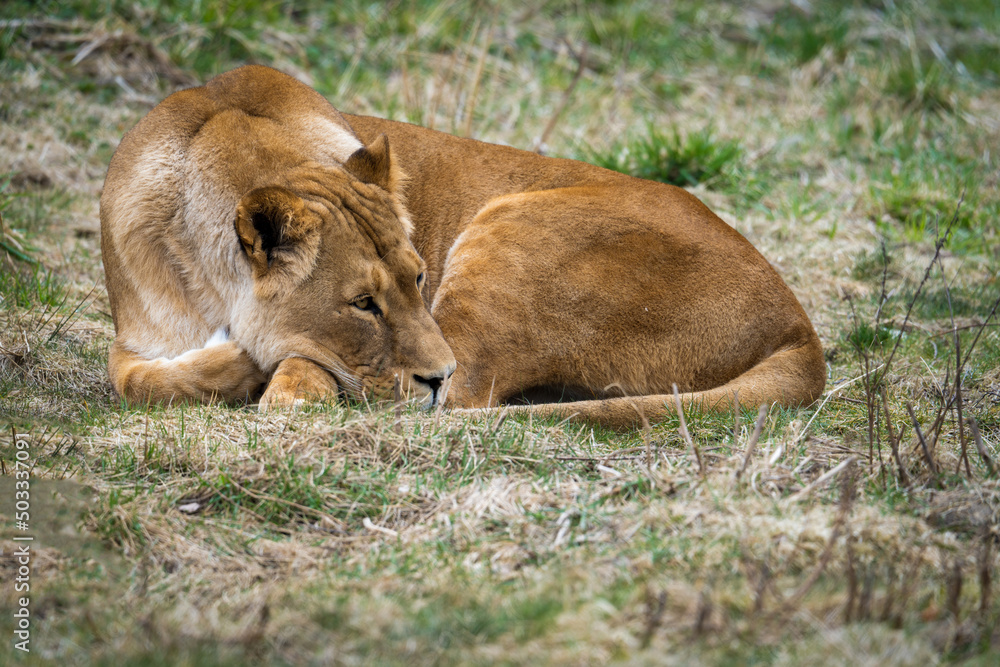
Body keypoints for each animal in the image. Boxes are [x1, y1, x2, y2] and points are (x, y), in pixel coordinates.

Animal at [101, 65, 825, 428]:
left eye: (419, 278)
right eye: (362, 303)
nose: (434, 375)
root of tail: (798, 326)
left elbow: (304, 366)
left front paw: (274, 377)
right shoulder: (134, 337)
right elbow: (139, 380)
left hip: (509, 231)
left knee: (464, 395)